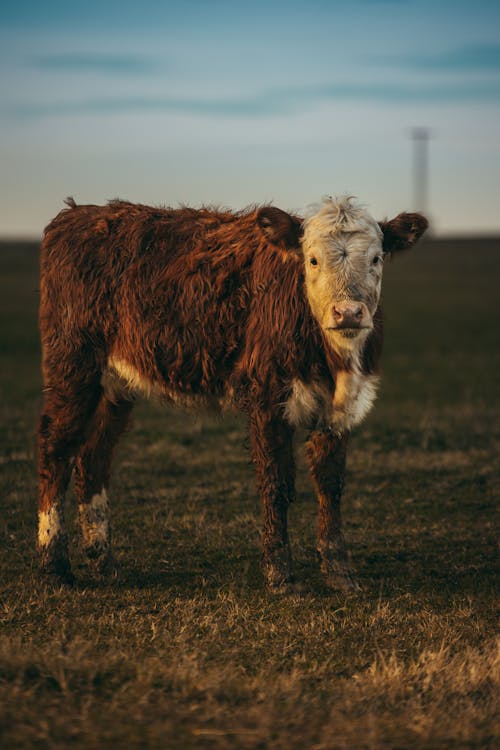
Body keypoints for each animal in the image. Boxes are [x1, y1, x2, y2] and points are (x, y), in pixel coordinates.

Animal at [38, 197, 426, 592]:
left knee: (94, 456)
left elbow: (330, 484)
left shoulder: (339, 410)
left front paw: (339, 573)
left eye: (376, 259)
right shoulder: (268, 399)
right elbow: (275, 484)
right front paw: (279, 574)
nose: (347, 313)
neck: (332, 360)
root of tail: (79, 213)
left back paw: (104, 563)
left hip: (114, 385)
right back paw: (54, 567)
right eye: (313, 259)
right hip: (73, 367)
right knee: (56, 450)